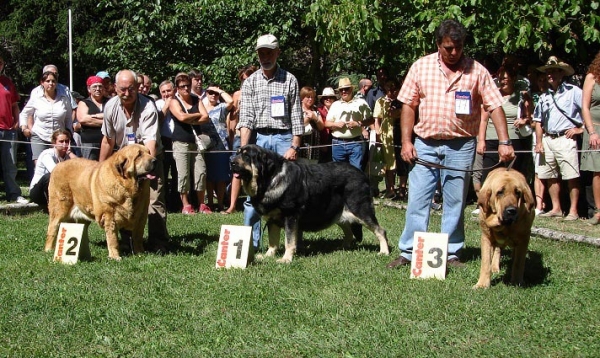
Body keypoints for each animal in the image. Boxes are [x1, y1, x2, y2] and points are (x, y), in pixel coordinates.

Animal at [229, 143, 390, 262]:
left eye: (246, 156)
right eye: (237, 152)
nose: (231, 162)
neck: (270, 179)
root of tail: (362, 174)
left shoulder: (290, 217)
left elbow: (289, 240)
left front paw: (286, 259)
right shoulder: (273, 219)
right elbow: (273, 241)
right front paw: (268, 255)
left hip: (360, 209)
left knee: (380, 230)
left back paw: (384, 252)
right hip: (338, 213)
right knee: (349, 231)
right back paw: (344, 247)